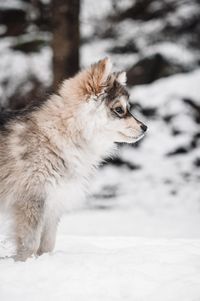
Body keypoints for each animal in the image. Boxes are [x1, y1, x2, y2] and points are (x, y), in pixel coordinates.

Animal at [0, 57, 147, 258]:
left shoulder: (54, 202)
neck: (60, 134)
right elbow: (30, 244)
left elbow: (47, 244)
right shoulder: (31, 200)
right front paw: (24, 261)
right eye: (119, 109)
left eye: (128, 109)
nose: (145, 127)